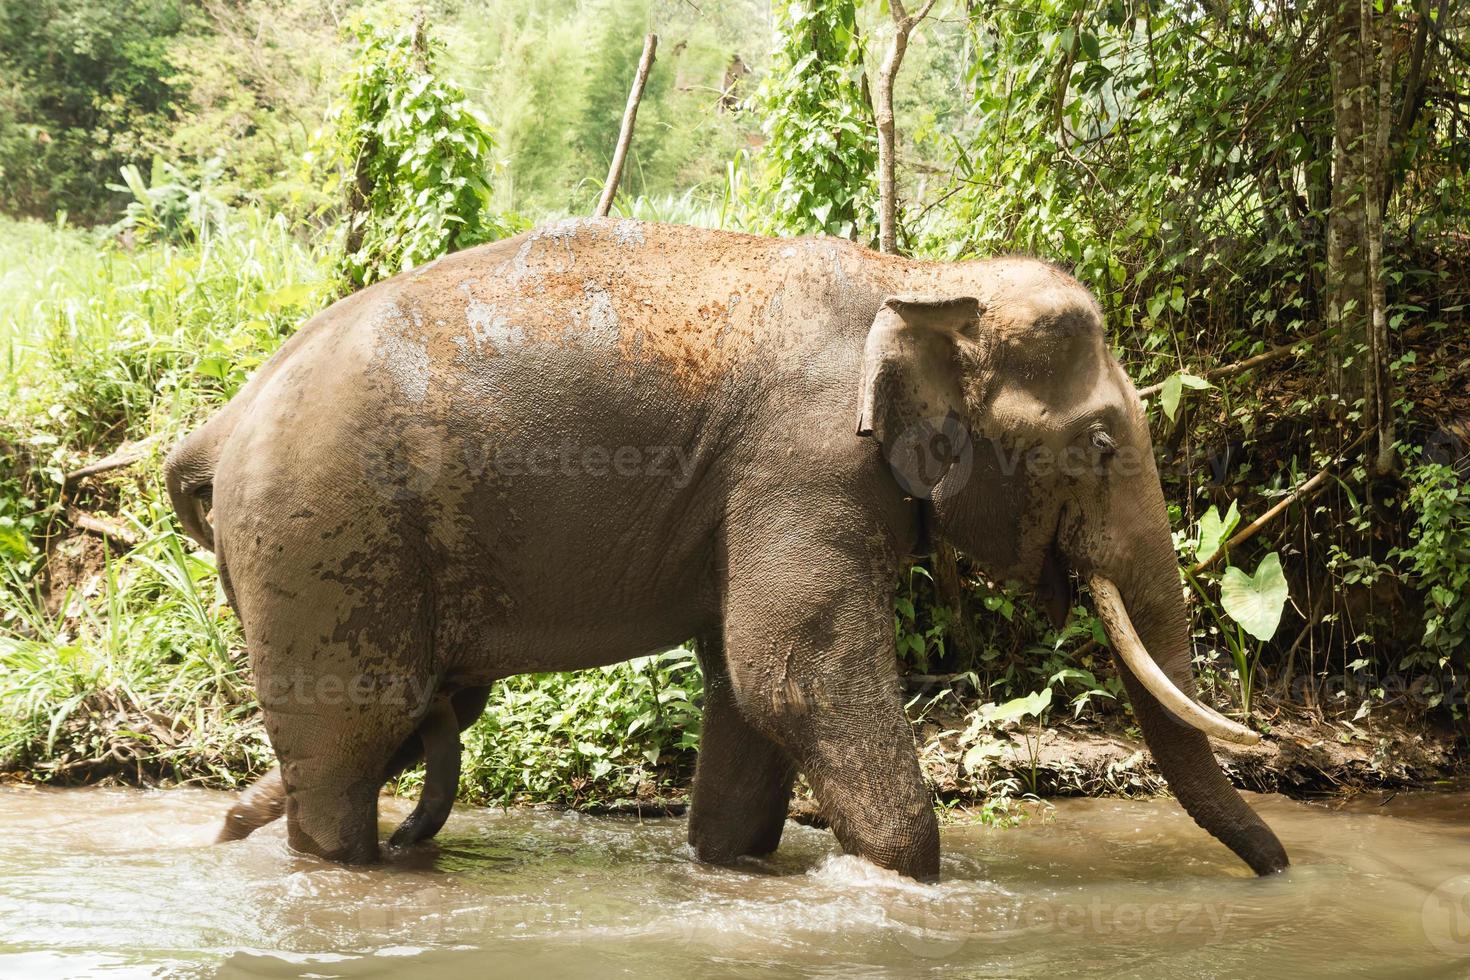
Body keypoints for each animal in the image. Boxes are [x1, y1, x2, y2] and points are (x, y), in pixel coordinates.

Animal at [163, 220, 1287, 881]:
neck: (920, 279)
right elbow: (795, 665)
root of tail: (218, 426)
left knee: (396, 730)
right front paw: (901, 878)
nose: (1278, 864)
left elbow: (747, 688)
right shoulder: (805, 460)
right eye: (1100, 445)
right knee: (352, 739)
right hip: (324, 539)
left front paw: (728, 869)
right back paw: (337, 864)